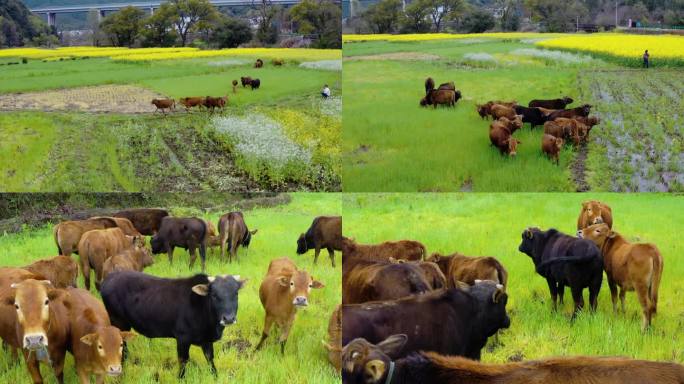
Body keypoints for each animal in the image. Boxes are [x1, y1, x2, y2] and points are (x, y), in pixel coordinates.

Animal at [101, 272, 246, 378]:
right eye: (214, 295)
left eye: (236, 294)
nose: (228, 318)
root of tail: (110, 276)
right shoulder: (182, 338)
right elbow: (183, 360)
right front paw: (181, 378)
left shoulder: (206, 340)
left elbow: (210, 359)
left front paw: (215, 376)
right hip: (118, 322)